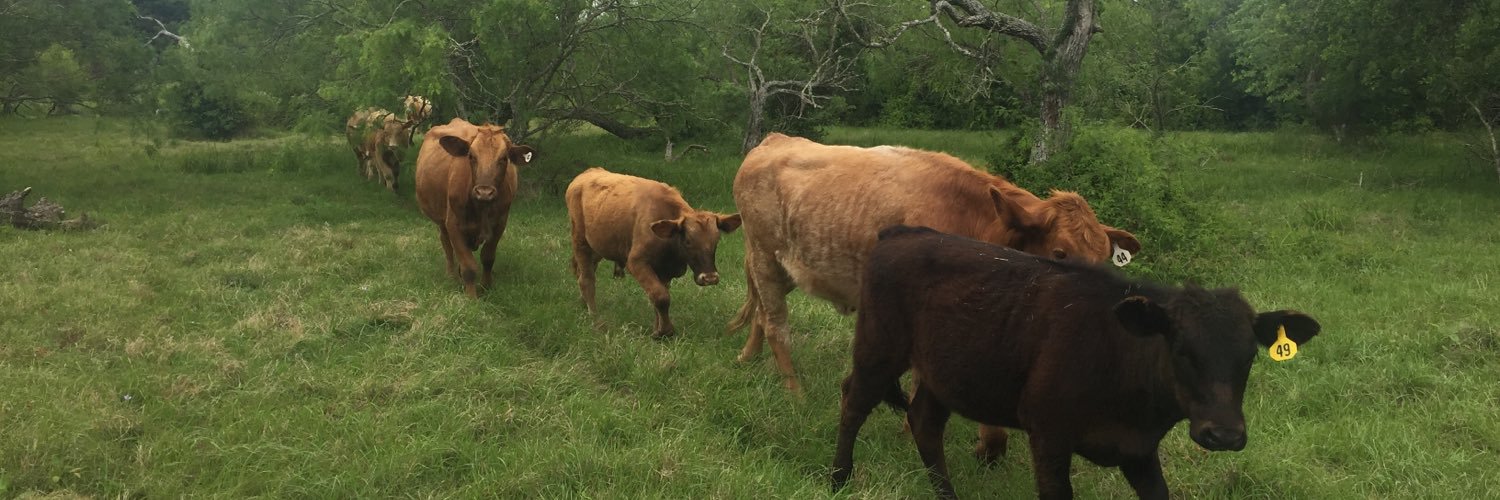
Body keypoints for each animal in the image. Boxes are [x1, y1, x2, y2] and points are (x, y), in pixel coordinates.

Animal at [414, 118, 536, 298]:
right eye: (471, 156)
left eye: (504, 158)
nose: (484, 192)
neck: (482, 208)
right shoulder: (454, 225)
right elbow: (469, 266)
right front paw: (471, 297)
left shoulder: (499, 224)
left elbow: (488, 258)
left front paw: (486, 287)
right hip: (441, 220)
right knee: (446, 244)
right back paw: (451, 275)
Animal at [565, 167, 742, 338]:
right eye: (688, 241)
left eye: (716, 240)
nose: (710, 278)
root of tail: (587, 173)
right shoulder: (636, 262)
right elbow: (660, 296)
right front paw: (665, 331)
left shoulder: (665, 270)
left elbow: (660, 296)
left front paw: (658, 329)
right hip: (580, 241)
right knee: (586, 280)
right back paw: (597, 322)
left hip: (597, 247)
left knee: (583, 272)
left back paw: (583, 304)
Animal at [729, 133, 1142, 393]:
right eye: (1059, 253)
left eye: (1105, 260)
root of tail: (775, 140)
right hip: (764, 257)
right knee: (777, 324)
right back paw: (795, 394)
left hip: (787, 265)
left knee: (761, 313)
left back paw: (746, 359)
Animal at [831, 225, 1322, 500]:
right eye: (1181, 349)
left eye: (1248, 357)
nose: (1224, 435)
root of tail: (903, 231)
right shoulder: (1048, 433)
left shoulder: (1139, 450)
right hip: (880, 347)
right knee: (853, 401)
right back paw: (839, 480)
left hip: (942, 372)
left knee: (924, 422)